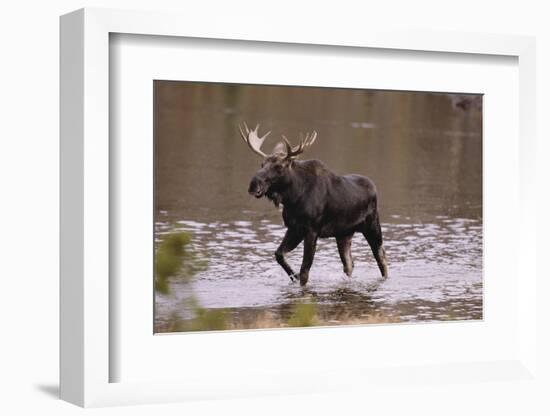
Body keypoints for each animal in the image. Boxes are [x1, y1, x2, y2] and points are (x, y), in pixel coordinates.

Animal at [239, 122, 390, 286]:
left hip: (372, 226)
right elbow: (279, 254)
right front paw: (293, 276)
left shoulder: (311, 230)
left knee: (381, 258)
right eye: (262, 164)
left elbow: (305, 269)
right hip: (344, 234)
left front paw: (299, 279)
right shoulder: (294, 228)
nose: (254, 184)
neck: (292, 197)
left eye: (279, 167)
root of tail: (374, 188)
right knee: (349, 263)